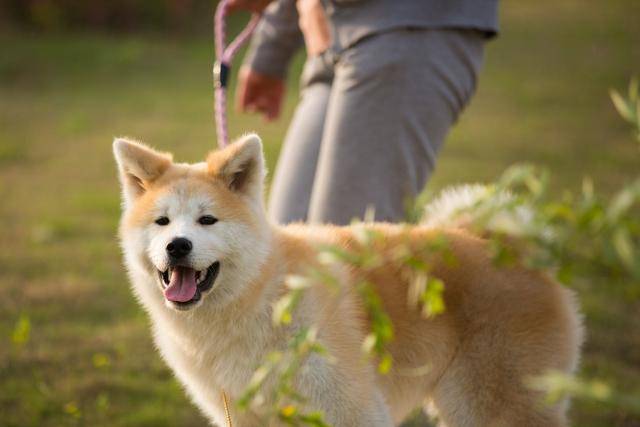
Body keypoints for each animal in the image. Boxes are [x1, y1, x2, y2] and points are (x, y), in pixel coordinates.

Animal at [112, 135, 584, 427]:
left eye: (207, 220)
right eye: (162, 222)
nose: (177, 246)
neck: (263, 298)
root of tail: (507, 245)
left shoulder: (349, 408)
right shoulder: (245, 413)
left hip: (491, 405)